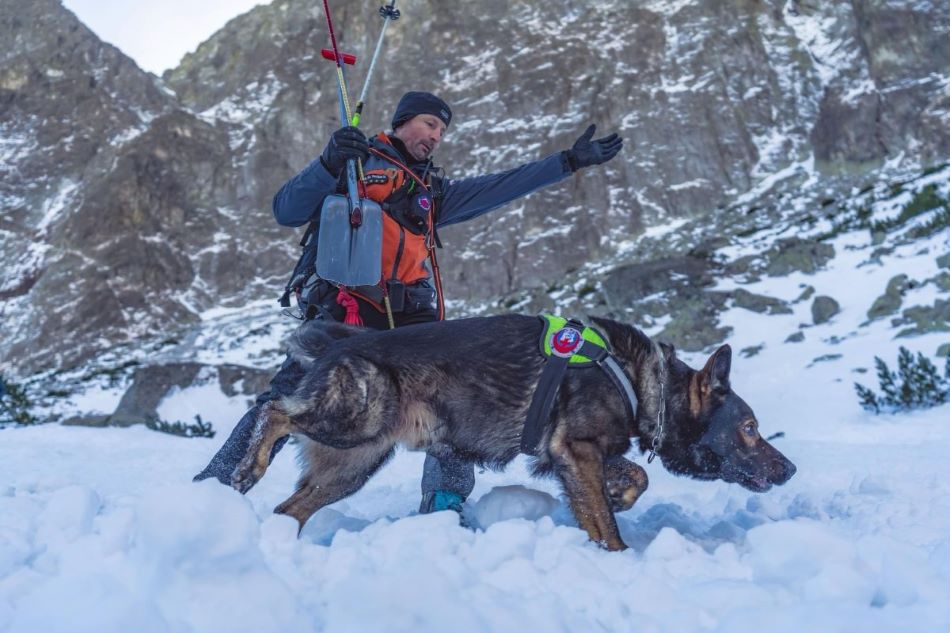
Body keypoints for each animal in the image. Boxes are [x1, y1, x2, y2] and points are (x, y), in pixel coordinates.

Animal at [232, 314, 796, 548]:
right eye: (749, 428)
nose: (790, 469)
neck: (643, 383)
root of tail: (334, 345)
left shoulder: (573, 455)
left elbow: (628, 483)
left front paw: (617, 499)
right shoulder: (578, 449)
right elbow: (610, 519)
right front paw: (617, 555)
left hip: (353, 463)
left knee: (290, 508)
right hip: (355, 421)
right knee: (274, 410)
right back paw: (247, 468)